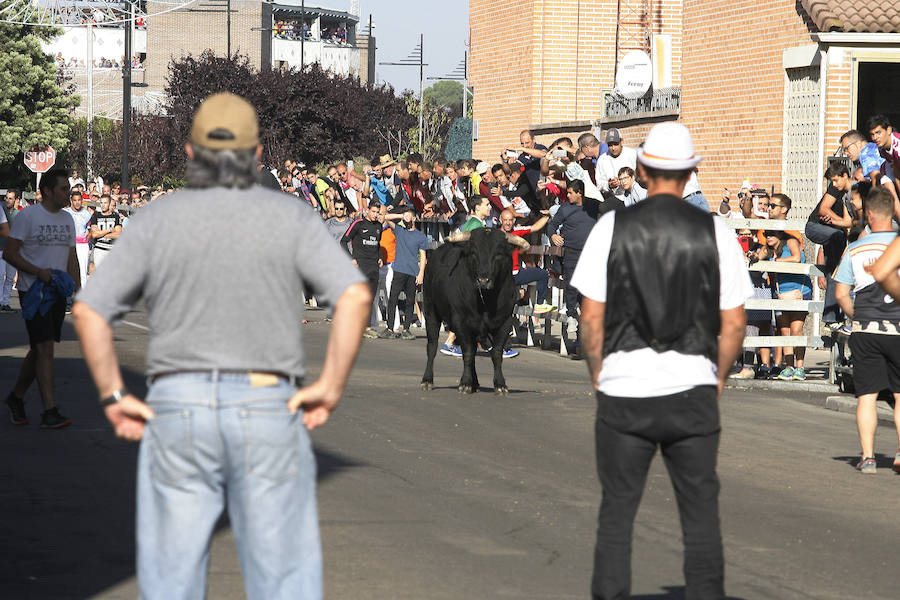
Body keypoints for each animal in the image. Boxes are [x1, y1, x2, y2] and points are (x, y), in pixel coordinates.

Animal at [420, 229, 532, 394]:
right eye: (474, 252)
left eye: (498, 253)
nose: (483, 280)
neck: (486, 300)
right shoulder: (461, 322)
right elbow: (467, 353)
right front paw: (465, 383)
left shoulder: (505, 322)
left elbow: (496, 353)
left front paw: (500, 385)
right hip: (431, 312)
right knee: (432, 347)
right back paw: (427, 380)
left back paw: (476, 383)